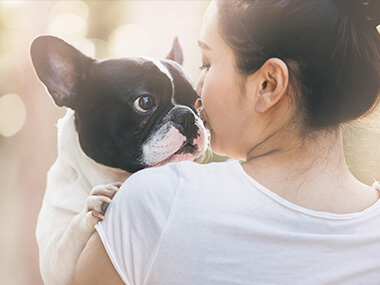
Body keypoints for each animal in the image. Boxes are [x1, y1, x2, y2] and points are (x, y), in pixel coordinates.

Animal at [30, 36, 206, 284]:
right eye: (145, 102)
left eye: (198, 103)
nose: (188, 115)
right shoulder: (55, 265)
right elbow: (66, 242)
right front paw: (91, 206)